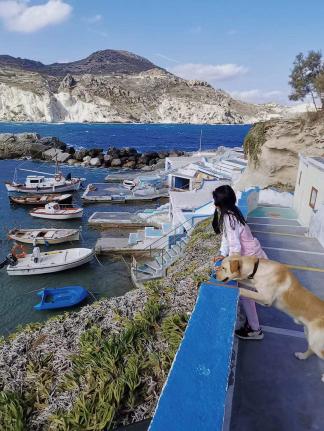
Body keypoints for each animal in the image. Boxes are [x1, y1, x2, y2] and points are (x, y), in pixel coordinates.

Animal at [215, 255, 324, 384]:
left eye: (224, 268)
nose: (214, 276)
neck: (257, 269)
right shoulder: (253, 284)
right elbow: (242, 281)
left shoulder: (266, 299)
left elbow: (243, 290)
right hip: (310, 336)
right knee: (311, 349)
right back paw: (302, 356)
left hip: (317, 343)